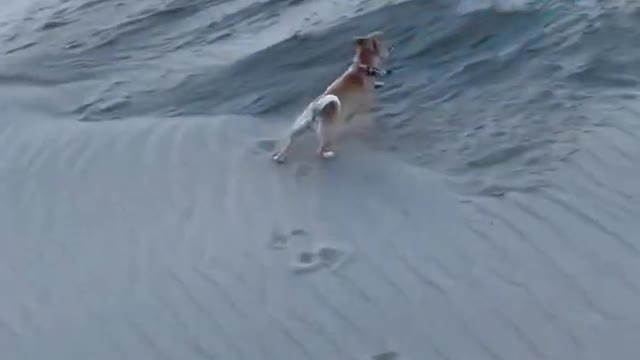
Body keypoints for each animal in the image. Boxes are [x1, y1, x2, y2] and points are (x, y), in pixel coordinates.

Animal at [270, 31, 390, 163]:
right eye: (383, 41)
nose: (391, 47)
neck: (362, 68)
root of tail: (315, 110)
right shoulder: (364, 108)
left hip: (300, 127)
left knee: (290, 141)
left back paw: (280, 156)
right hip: (329, 132)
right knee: (320, 150)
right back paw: (329, 154)